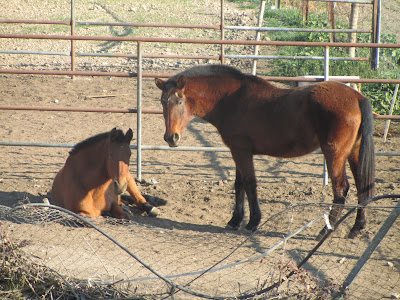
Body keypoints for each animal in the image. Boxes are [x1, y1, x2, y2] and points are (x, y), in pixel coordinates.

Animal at [156, 64, 376, 238]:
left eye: (180, 100)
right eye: (162, 102)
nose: (171, 137)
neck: (230, 100)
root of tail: (357, 97)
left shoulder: (242, 152)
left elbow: (250, 184)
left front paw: (253, 222)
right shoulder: (238, 152)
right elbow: (239, 185)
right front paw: (235, 220)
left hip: (334, 154)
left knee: (341, 189)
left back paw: (326, 229)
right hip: (353, 152)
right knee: (363, 187)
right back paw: (357, 228)